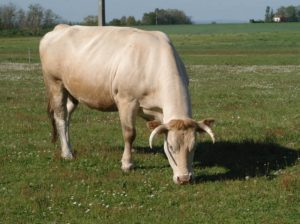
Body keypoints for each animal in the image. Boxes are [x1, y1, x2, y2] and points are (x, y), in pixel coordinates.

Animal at [39, 25, 214, 185]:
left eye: (194, 147)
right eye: (171, 147)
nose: (184, 179)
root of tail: (60, 28)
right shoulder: (126, 100)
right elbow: (130, 134)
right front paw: (127, 164)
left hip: (72, 91)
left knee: (67, 116)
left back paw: (67, 146)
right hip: (55, 83)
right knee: (60, 117)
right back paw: (67, 153)